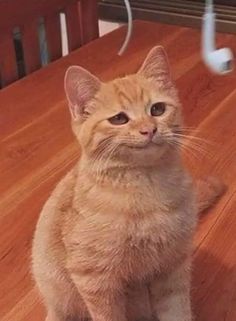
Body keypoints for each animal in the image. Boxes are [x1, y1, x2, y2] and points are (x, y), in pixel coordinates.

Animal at [32, 45, 224, 320]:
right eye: (119, 119)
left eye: (157, 109)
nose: (149, 130)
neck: (145, 185)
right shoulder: (94, 280)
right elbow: (108, 315)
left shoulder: (172, 268)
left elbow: (177, 310)